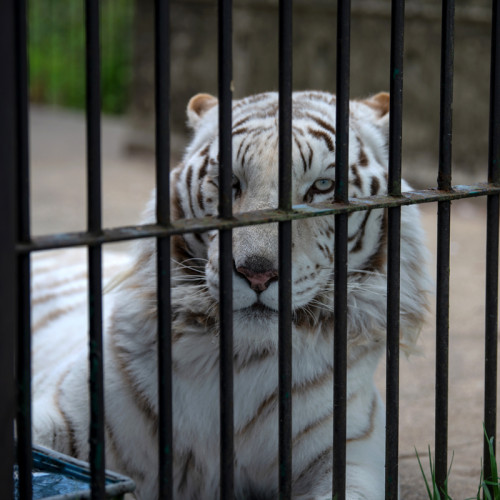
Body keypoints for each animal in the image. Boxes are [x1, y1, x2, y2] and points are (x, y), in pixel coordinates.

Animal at [32, 92, 430, 498]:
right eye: (228, 181)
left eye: (322, 185)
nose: (257, 273)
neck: (239, 362)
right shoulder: (67, 411)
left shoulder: (349, 454)